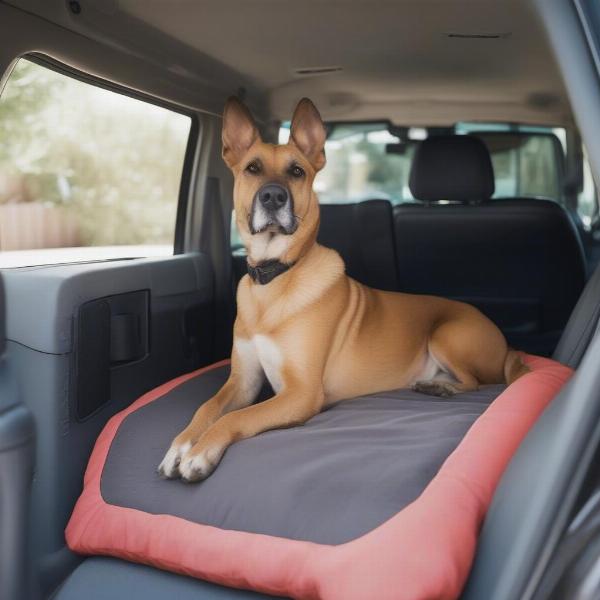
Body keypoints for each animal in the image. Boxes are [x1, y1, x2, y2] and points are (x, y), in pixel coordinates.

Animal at [157, 98, 528, 482]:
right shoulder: (242, 381)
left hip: (447, 335)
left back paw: (443, 387)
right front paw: (181, 444)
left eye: (296, 171)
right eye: (252, 168)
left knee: (479, 382)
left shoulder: (302, 393)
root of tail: (506, 344)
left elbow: (237, 416)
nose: (273, 196)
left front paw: (201, 452)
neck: (275, 278)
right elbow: (208, 407)